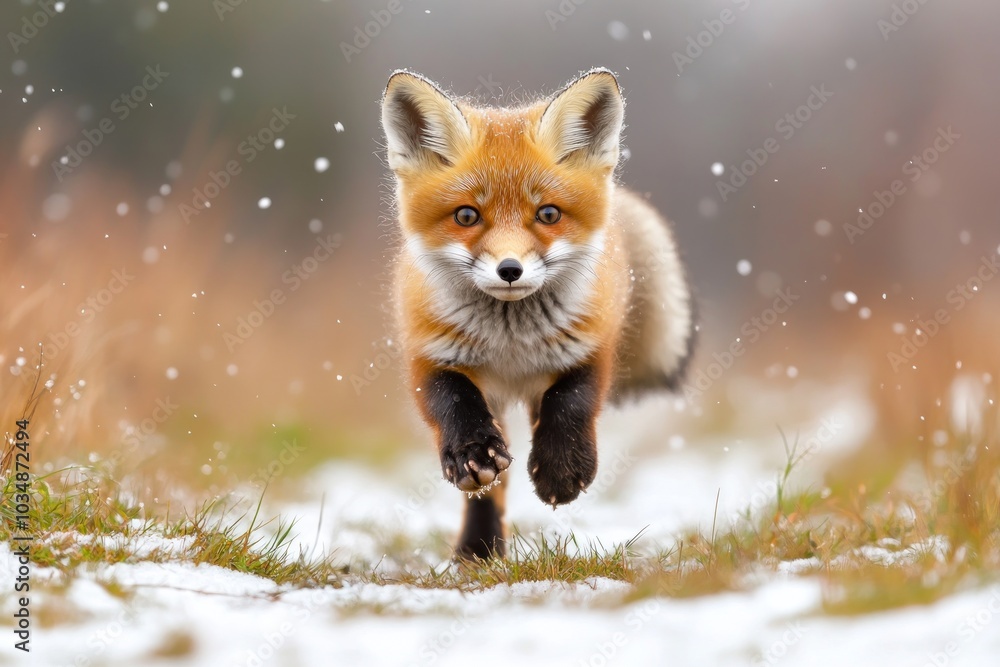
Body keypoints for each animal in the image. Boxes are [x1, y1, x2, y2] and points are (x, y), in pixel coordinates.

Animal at [381, 68, 696, 560]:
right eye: (467, 216)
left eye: (548, 214)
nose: (510, 270)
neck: (510, 345)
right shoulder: (430, 353)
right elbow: (452, 404)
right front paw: (471, 453)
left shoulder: (589, 345)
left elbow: (571, 401)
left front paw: (561, 470)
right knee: (492, 486)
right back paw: (478, 548)